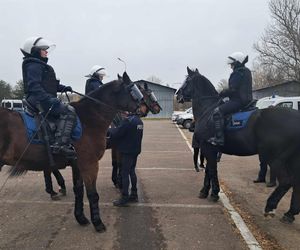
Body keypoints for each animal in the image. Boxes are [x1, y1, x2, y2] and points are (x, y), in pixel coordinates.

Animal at [0, 72, 144, 232]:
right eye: (134, 91)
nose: (143, 109)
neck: (90, 119)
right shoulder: (89, 164)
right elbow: (93, 194)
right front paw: (98, 223)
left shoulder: (77, 165)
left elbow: (79, 191)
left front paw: (81, 217)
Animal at [177, 67, 300, 224]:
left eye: (187, 80)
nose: (177, 94)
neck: (208, 111)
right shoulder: (210, 150)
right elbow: (209, 170)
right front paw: (205, 191)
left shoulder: (207, 148)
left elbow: (211, 171)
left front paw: (213, 193)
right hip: (292, 160)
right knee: (296, 183)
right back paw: (289, 214)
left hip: (276, 159)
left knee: (286, 182)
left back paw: (270, 207)